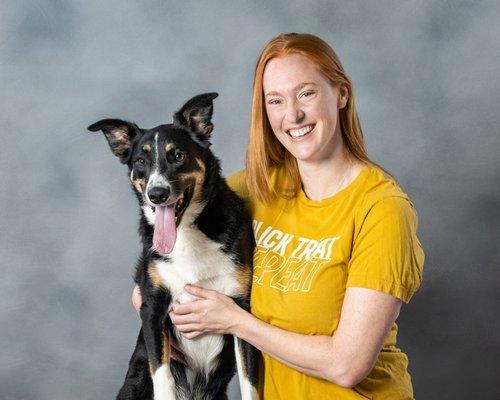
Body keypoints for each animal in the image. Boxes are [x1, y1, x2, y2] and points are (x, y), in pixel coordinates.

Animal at [88, 94, 260, 400]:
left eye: (178, 156)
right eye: (141, 161)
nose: (156, 194)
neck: (186, 236)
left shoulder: (241, 309)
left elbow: (249, 382)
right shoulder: (153, 307)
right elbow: (163, 374)